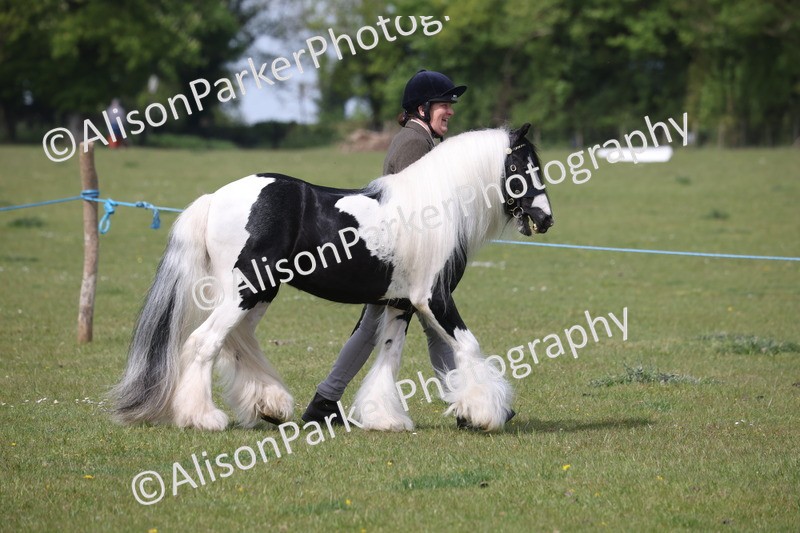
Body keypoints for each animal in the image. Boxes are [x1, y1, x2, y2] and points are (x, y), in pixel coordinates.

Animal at [111, 123, 554, 432]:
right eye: (519, 166)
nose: (545, 218)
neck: (435, 210)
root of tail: (215, 198)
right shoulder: (433, 299)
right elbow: (468, 346)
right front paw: (485, 412)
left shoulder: (399, 304)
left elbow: (389, 356)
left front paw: (385, 418)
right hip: (244, 291)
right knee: (205, 343)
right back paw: (204, 418)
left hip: (259, 292)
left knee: (238, 342)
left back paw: (270, 405)